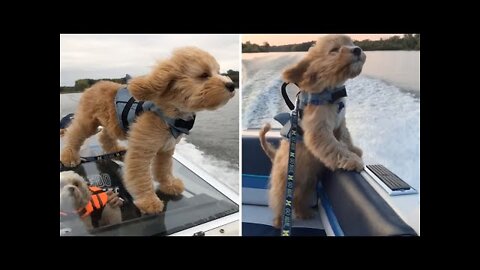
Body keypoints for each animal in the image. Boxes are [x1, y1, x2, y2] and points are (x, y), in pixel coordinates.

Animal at [61, 47, 235, 214]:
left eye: (218, 71)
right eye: (204, 75)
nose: (232, 85)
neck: (170, 113)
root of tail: (94, 86)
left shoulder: (166, 149)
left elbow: (164, 170)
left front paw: (169, 185)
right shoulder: (141, 152)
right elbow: (141, 179)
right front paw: (149, 201)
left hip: (111, 124)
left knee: (105, 136)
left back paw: (115, 150)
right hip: (87, 123)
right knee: (74, 134)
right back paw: (69, 156)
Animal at [260, 34, 366, 227]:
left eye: (351, 43)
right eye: (334, 50)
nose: (357, 50)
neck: (331, 92)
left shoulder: (340, 123)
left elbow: (345, 138)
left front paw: (354, 150)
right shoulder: (319, 132)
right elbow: (335, 147)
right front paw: (352, 160)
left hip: (307, 185)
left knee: (298, 200)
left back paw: (304, 213)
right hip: (282, 187)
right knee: (279, 203)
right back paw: (279, 222)